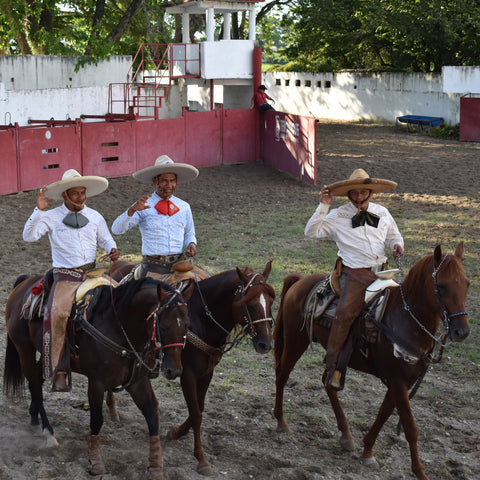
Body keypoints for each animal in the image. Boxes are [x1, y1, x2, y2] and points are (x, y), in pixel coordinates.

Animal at [5, 274, 191, 480]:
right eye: (164, 326)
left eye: (187, 325)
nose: (174, 371)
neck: (118, 327)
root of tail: (25, 283)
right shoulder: (96, 383)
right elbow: (96, 420)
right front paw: (96, 464)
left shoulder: (137, 382)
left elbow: (152, 416)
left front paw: (156, 467)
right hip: (24, 350)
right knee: (35, 386)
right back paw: (49, 432)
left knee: (36, 380)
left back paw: (34, 416)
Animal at [274, 244, 468, 480]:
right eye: (441, 285)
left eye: (467, 283)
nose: (462, 331)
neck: (405, 320)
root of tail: (300, 280)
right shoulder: (398, 381)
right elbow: (410, 427)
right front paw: (420, 472)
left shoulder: (403, 382)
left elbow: (383, 414)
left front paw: (367, 451)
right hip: (296, 340)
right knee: (282, 375)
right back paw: (281, 422)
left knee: (328, 382)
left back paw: (346, 435)